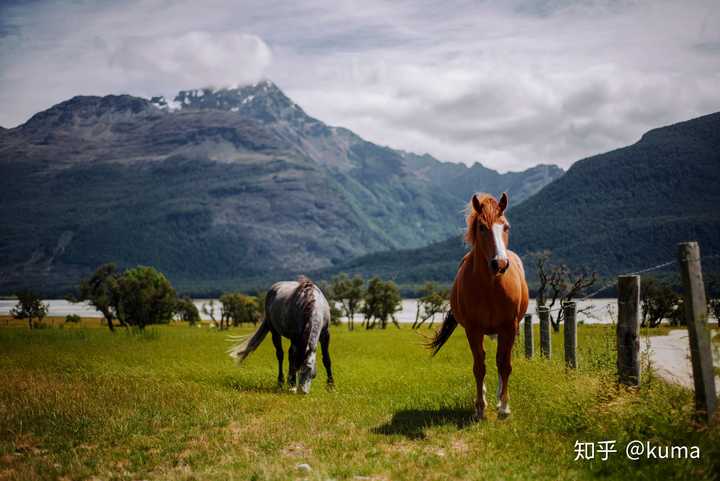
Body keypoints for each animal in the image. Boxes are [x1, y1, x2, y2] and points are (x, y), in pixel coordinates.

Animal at [428, 193, 528, 418]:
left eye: (506, 226)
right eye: (482, 227)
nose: (500, 263)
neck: (491, 287)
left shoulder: (509, 328)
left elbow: (505, 365)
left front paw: (504, 406)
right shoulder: (473, 330)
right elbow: (479, 367)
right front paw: (480, 407)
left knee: (500, 361)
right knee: (481, 360)